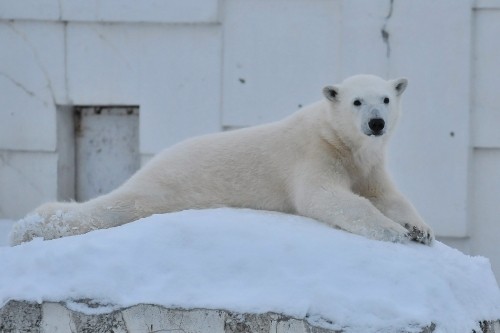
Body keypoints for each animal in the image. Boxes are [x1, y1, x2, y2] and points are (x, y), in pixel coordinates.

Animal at [8, 76, 434, 246]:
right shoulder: (314, 153)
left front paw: (420, 229)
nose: (376, 123)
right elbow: (325, 197)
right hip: (166, 187)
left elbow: (387, 195)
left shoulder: (368, 164)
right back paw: (32, 225)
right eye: (357, 101)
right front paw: (394, 232)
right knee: (115, 207)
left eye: (386, 98)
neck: (342, 141)